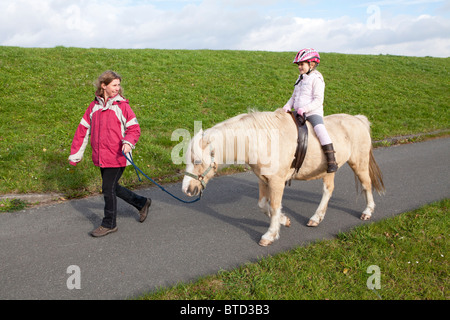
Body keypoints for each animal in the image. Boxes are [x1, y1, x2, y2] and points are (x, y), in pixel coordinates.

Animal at [182, 109, 384, 246]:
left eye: (197, 161)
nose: (186, 189)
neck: (264, 141)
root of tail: (358, 119)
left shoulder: (277, 182)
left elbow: (273, 205)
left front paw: (270, 235)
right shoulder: (263, 180)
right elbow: (263, 205)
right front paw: (284, 220)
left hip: (359, 163)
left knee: (366, 184)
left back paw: (367, 211)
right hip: (329, 171)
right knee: (328, 190)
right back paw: (317, 217)